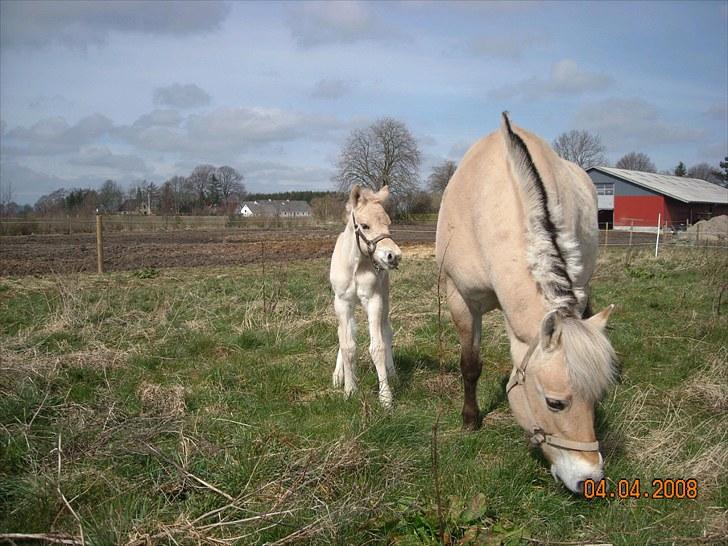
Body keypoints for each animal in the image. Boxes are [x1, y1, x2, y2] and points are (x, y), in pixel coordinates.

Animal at [330, 185, 404, 406]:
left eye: (388, 224)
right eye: (365, 226)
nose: (394, 256)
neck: (356, 265)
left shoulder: (374, 301)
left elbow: (377, 347)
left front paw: (386, 397)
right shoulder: (342, 303)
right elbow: (347, 345)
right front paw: (349, 389)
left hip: (385, 299)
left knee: (387, 331)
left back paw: (393, 374)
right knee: (343, 333)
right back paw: (338, 375)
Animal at [436, 112, 616, 490]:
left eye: (597, 398)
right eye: (555, 403)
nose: (589, 479)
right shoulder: (461, 300)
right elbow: (470, 365)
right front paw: (470, 419)